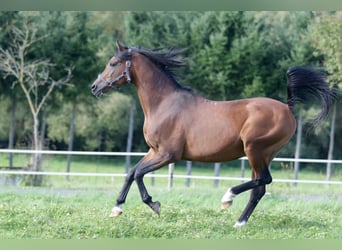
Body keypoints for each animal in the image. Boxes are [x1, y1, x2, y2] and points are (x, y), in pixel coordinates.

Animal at [90, 40, 334, 227]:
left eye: (113, 63)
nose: (95, 87)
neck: (164, 103)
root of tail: (287, 107)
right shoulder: (154, 151)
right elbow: (131, 172)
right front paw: (116, 209)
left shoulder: (168, 155)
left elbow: (139, 173)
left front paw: (154, 205)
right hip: (264, 155)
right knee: (259, 188)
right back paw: (239, 223)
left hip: (254, 149)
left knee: (263, 180)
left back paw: (228, 198)